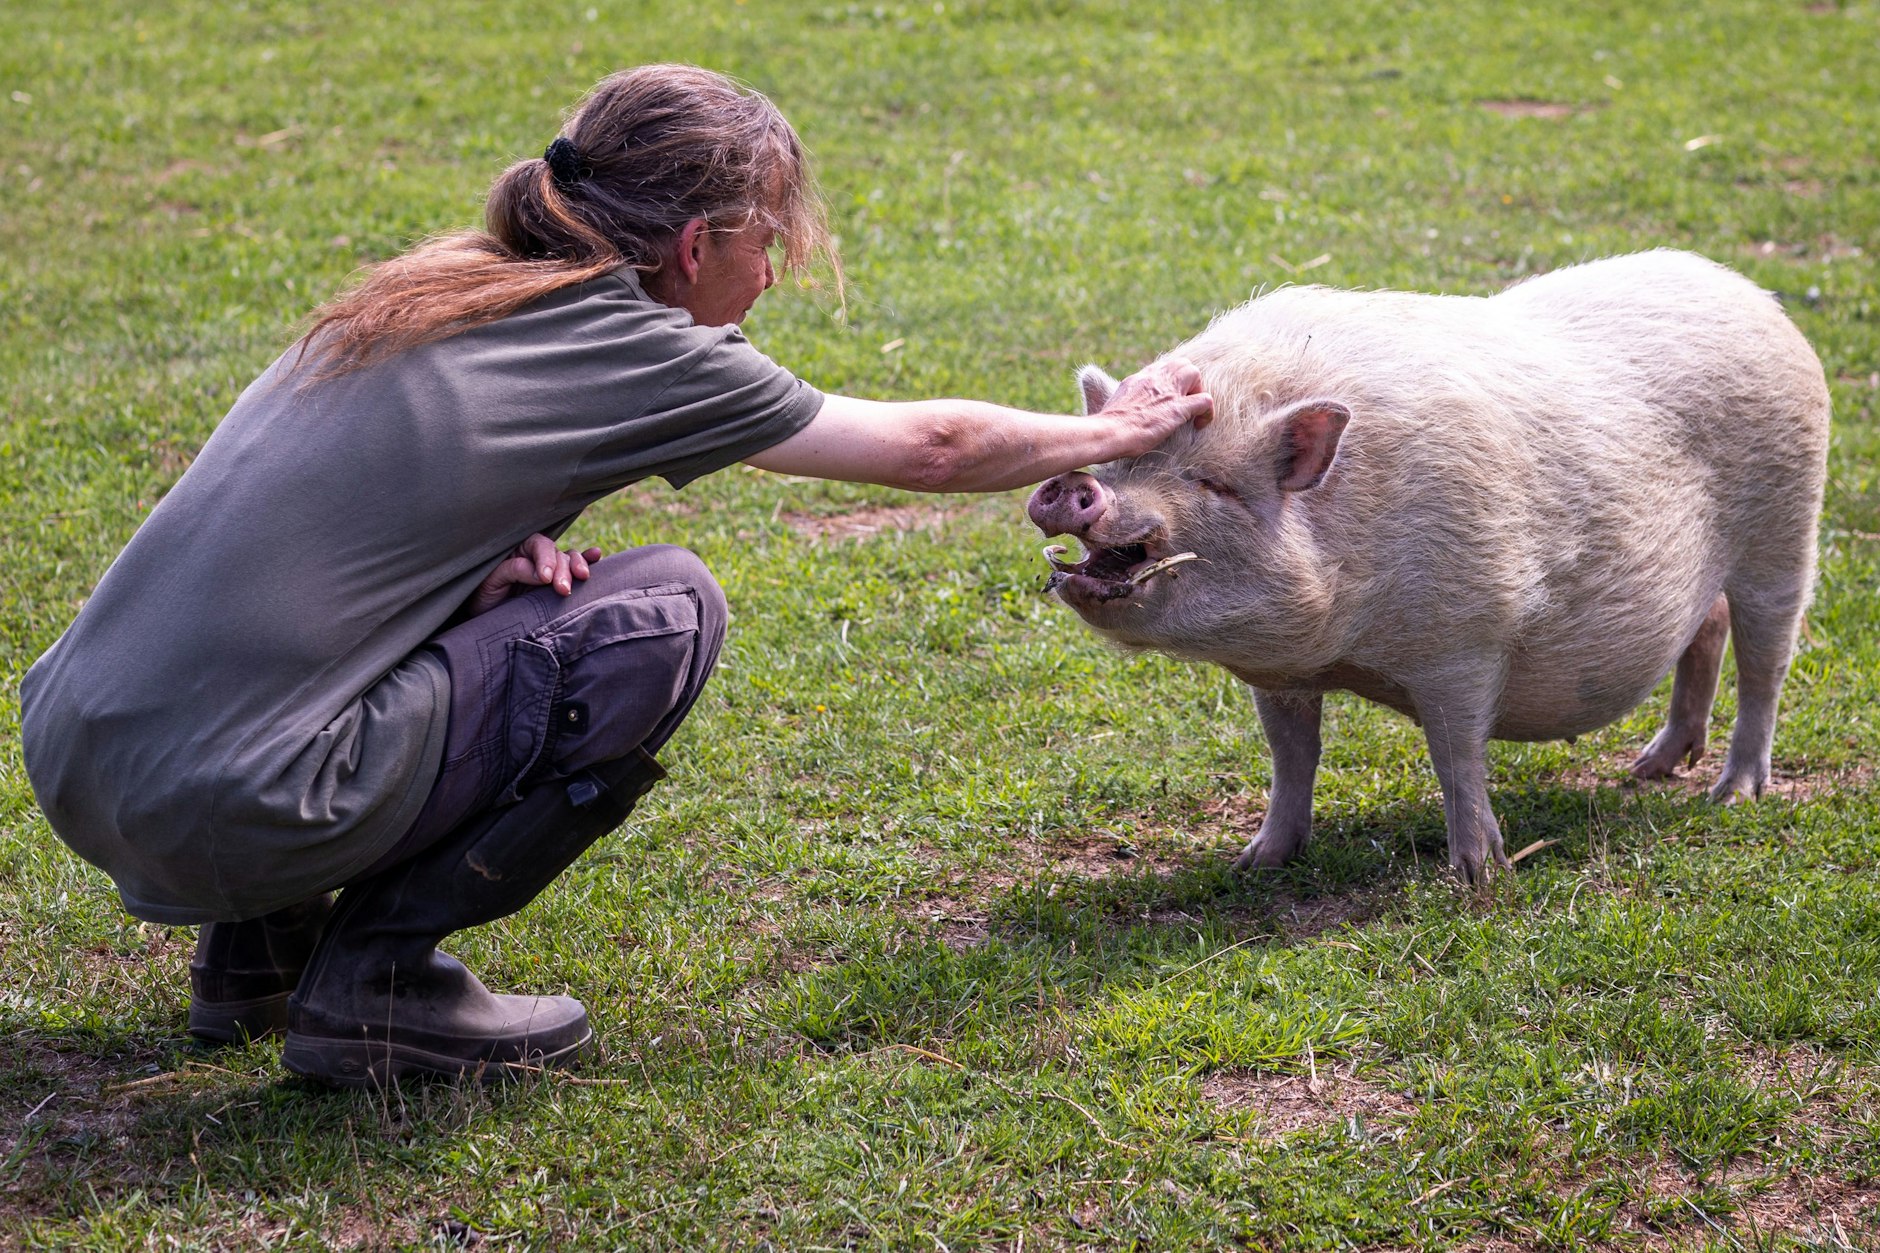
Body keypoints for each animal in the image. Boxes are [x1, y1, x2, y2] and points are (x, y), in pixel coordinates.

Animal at [1028, 250, 1830, 882]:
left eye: (1212, 482)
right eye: (1119, 461)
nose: (1080, 490)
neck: (1352, 640)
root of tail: (1751, 294)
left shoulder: (1467, 635)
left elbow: (1456, 751)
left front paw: (1476, 874)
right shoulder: (1280, 669)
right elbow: (1293, 753)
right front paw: (1256, 862)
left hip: (1787, 522)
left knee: (1767, 658)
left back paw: (1731, 792)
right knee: (1708, 626)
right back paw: (1651, 768)